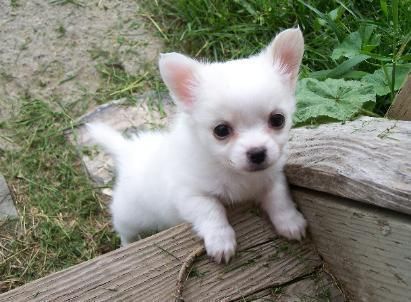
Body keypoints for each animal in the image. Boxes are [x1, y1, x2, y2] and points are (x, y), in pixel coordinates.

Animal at [89, 28, 306, 264]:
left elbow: (279, 198)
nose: (257, 153)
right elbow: (212, 210)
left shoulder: (273, 177)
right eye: (221, 130)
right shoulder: (191, 195)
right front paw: (221, 241)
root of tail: (129, 150)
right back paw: (125, 245)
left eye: (278, 120)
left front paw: (291, 222)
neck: (237, 174)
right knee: (125, 232)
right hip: (128, 215)